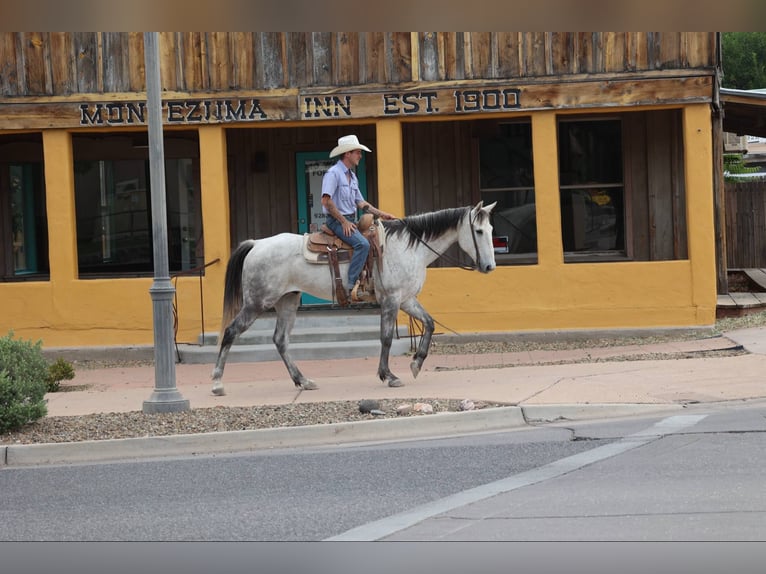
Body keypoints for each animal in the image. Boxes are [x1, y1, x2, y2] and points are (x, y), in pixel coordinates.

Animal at [210, 201, 497, 395]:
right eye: (479, 231)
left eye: (492, 228)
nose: (489, 267)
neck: (408, 249)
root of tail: (257, 244)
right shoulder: (392, 300)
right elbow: (385, 338)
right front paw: (388, 375)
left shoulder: (406, 299)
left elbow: (429, 323)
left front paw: (416, 363)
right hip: (257, 302)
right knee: (231, 332)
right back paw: (217, 383)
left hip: (287, 301)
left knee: (281, 340)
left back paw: (303, 380)